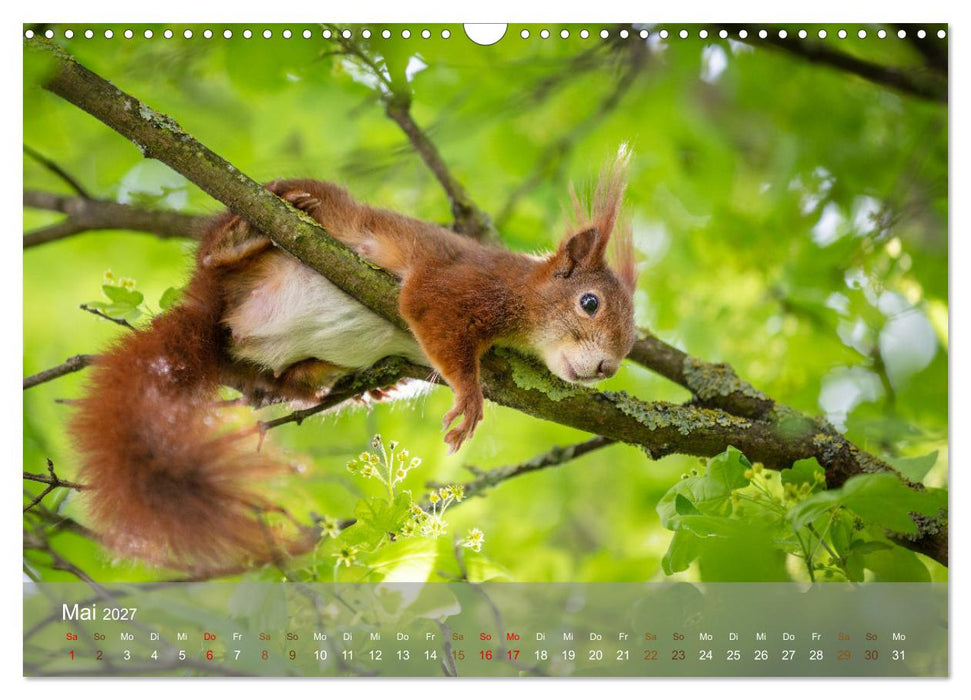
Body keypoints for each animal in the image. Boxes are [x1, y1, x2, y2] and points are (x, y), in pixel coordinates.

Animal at [69, 158, 637, 572]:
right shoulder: (463, 282)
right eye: (589, 303)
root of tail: (213, 311)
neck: (523, 292)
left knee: (285, 382)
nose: (607, 368)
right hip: (290, 214)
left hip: (275, 365)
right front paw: (470, 394)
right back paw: (239, 240)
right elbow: (429, 310)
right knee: (217, 253)